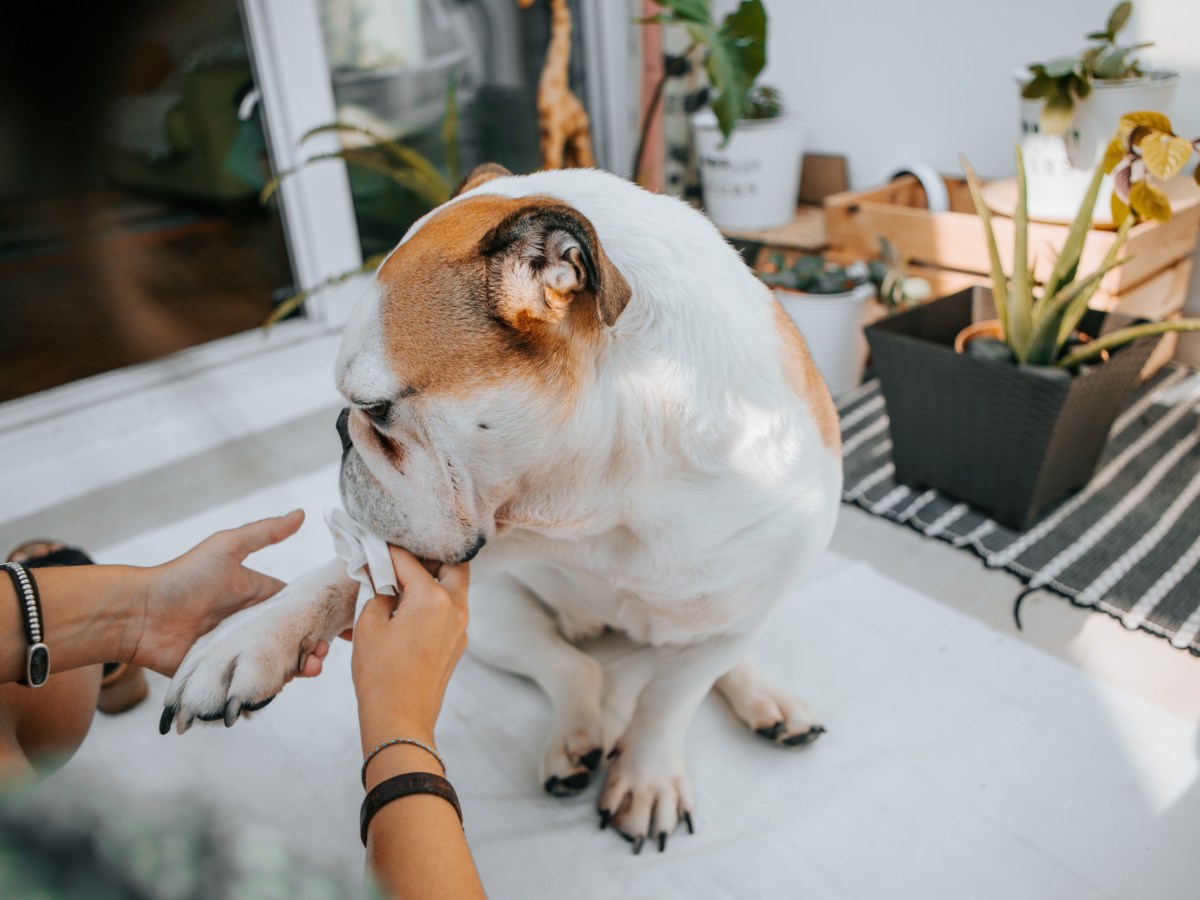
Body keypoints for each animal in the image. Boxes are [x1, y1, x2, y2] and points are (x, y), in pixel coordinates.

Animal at [162, 164, 844, 854]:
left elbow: (669, 696)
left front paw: (648, 777)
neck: (617, 489)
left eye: (375, 408)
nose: (339, 430)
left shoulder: (738, 613)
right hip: (493, 621)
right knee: (571, 668)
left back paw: (769, 703)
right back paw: (576, 739)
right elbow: (346, 571)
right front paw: (247, 638)